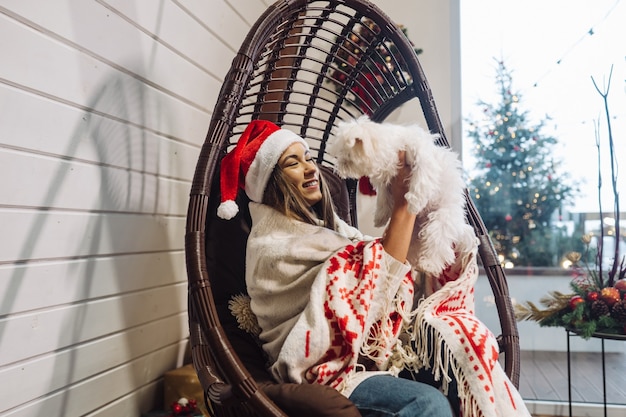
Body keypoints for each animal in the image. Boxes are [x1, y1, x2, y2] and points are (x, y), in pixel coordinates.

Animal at [326, 115, 472, 274]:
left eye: (347, 157)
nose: (337, 170)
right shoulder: (387, 180)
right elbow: (383, 197)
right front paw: (380, 217)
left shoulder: (423, 161)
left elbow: (421, 180)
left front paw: (414, 202)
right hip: (413, 236)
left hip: (442, 218)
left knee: (438, 242)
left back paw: (429, 263)